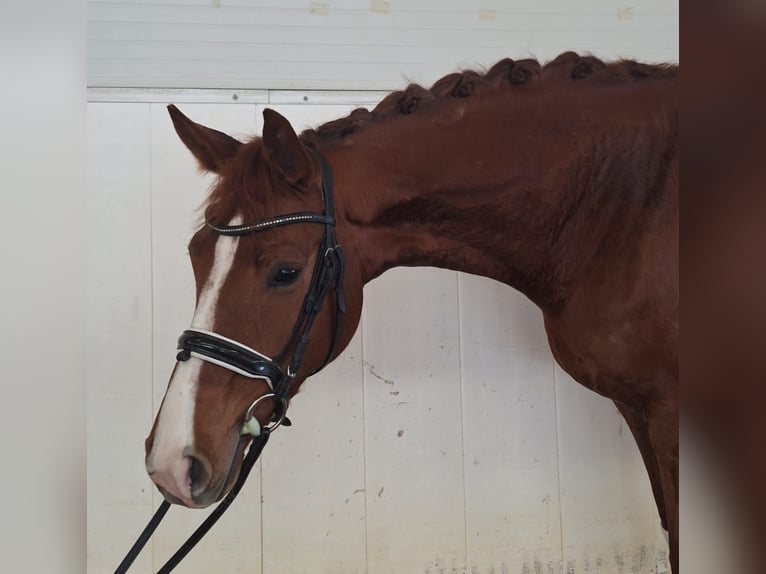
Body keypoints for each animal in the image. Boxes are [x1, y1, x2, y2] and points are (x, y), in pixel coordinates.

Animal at [143, 52, 679, 571]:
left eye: (285, 272)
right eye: (195, 253)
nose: (172, 461)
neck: (621, 209)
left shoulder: (668, 415)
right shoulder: (634, 407)